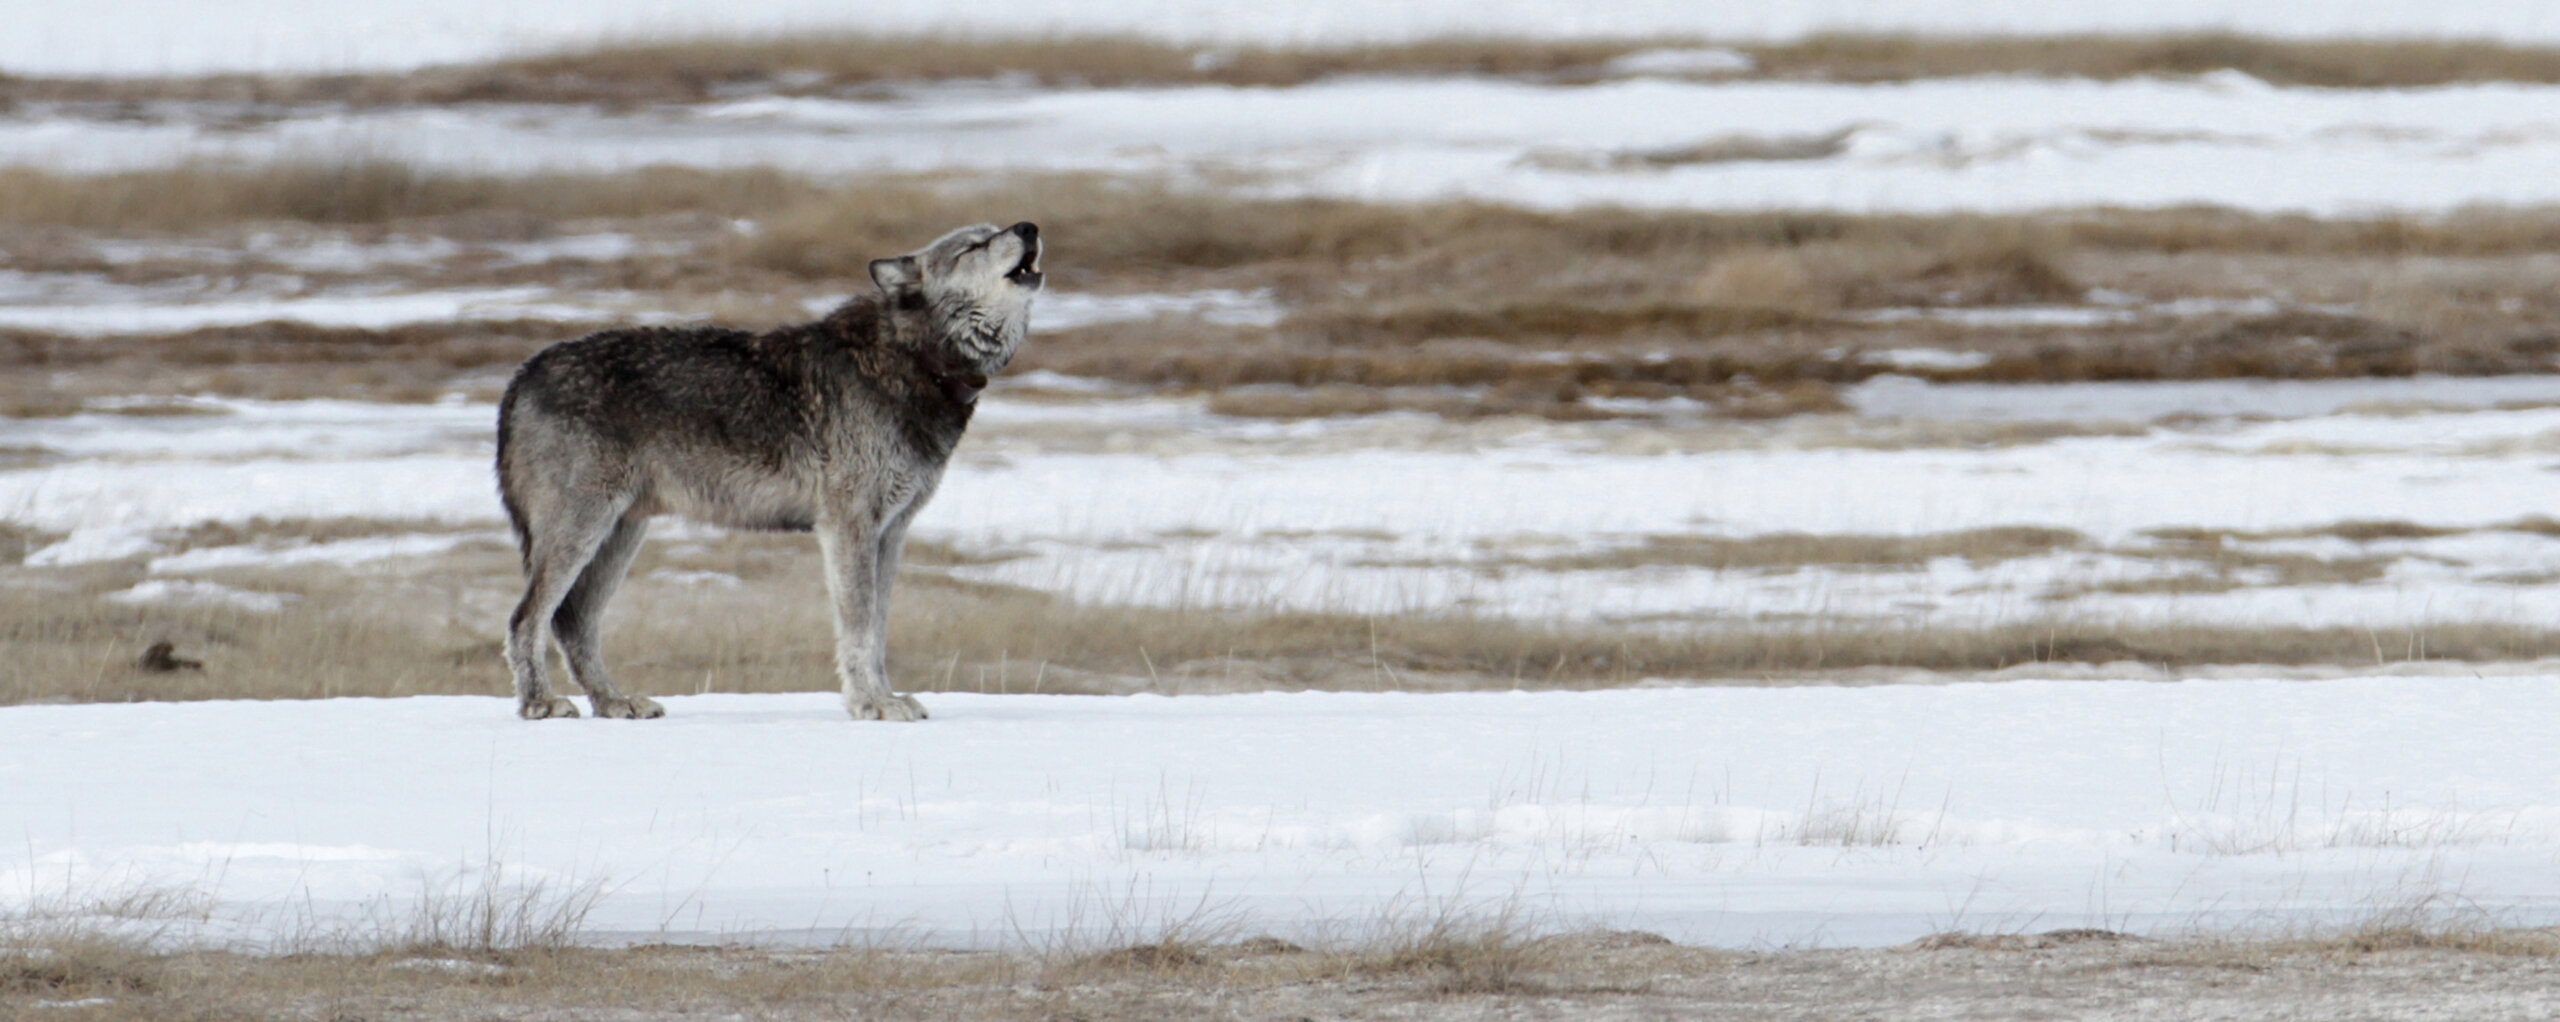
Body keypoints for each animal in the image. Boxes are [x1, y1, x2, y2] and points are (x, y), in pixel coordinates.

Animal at [495, 221, 1042, 721]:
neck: (915, 359)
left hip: (620, 536)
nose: (1028, 227)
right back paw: (541, 704)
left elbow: (879, 629)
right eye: (974, 245)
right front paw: (872, 705)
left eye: (997, 229)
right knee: (527, 618)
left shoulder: (892, 532)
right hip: (582, 532)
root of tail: (523, 372)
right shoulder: (850, 527)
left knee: (573, 622)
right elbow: (860, 630)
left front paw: (886, 698)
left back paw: (614, 702)